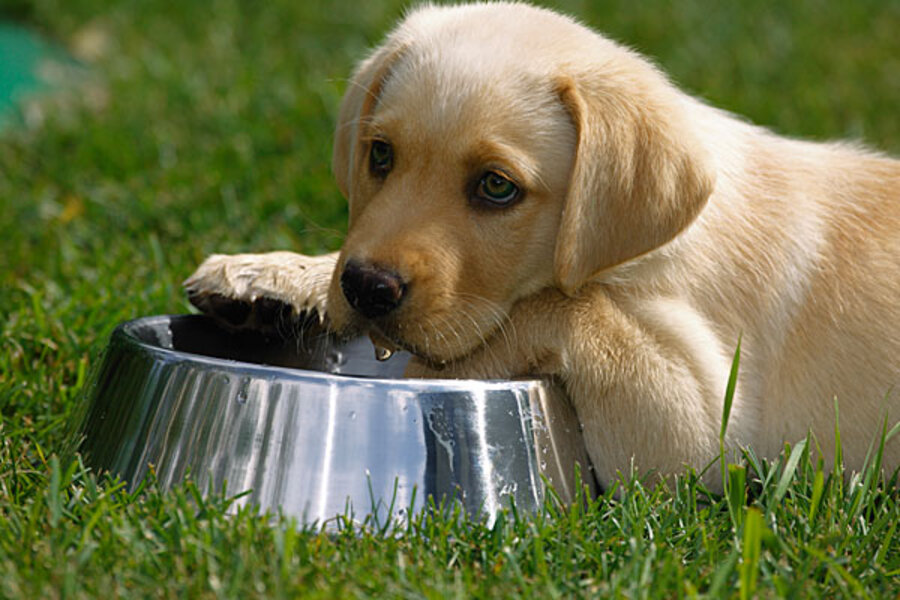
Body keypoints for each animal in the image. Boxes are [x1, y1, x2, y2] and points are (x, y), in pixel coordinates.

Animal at [183, 2, 900, 492]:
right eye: (379, 156)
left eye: (497, 187)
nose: (368, 288)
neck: (629, 259)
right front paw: (273, 276)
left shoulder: (702, 439)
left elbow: (571, 308)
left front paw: (451, 368)